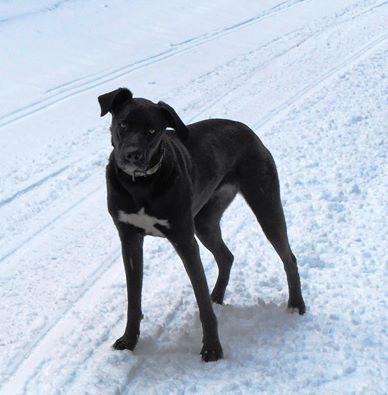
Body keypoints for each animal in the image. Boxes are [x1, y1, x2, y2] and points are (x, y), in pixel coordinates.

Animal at [98, 88, 304, 364]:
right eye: (123, 124)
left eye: (152, 130)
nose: (132, 154)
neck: (140, 184)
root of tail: (246, 130)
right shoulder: (129, 238)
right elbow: (133, 300)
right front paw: (129, 342)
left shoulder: (184, 239)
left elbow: (202, 302)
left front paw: (212, 349)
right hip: (204, 221)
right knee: (226, 256)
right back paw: (217, 295)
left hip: (265, 203)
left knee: (288, 257)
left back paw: (296, 305)